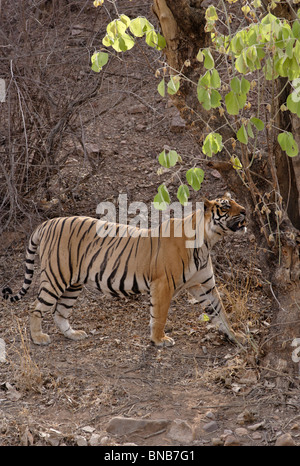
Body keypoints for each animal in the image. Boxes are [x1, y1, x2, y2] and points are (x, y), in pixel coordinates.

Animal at [1, 191, 246, 348]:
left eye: (236, 202)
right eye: (226, 205)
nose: (245, 210)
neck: (207, 241)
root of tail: (46, 223)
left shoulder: (204, 285)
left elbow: (220, 312)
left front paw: (236, 337)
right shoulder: (163, 285)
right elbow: (160, 315)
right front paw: (159, 340)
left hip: (73, 283)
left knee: (60, 311)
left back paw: (74, 335)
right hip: (56, 277)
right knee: (35, 308)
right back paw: (38, 338)